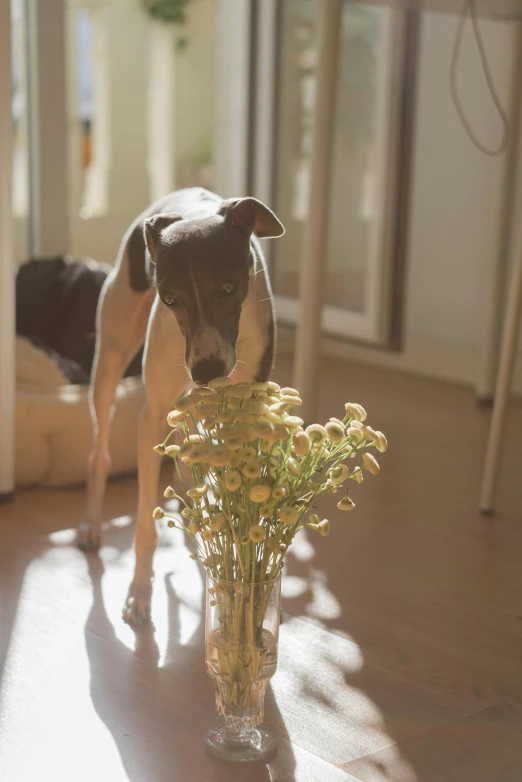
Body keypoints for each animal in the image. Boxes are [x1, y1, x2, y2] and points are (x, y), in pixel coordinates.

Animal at [76, 188, 284, 624]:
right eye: (170, 298)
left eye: (228, 288)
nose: (206, 371)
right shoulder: (154, 418)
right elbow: (144, 524)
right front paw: (139, 592)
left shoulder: (245, 413)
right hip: (109, 363)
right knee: (99, 450)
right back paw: (91, 522)